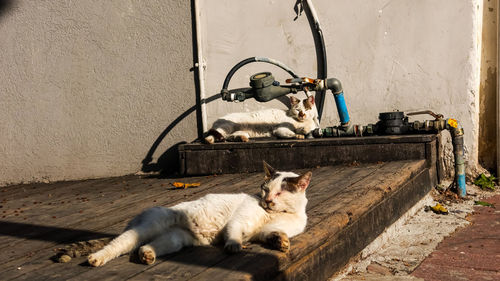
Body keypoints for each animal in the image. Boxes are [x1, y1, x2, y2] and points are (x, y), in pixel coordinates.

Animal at [88, 161, 310, 266]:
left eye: (279, 192)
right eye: (265, 189)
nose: (267, 200)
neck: (278, 214)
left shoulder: (264, 231)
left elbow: (273, 234)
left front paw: (282, 242)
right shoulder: (238, 221)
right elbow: (233, 233)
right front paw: (234, 245)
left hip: (175, 239)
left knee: (145, 246)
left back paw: (147, 256)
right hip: (150, 226)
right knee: (120, 243)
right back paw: (95, 259)